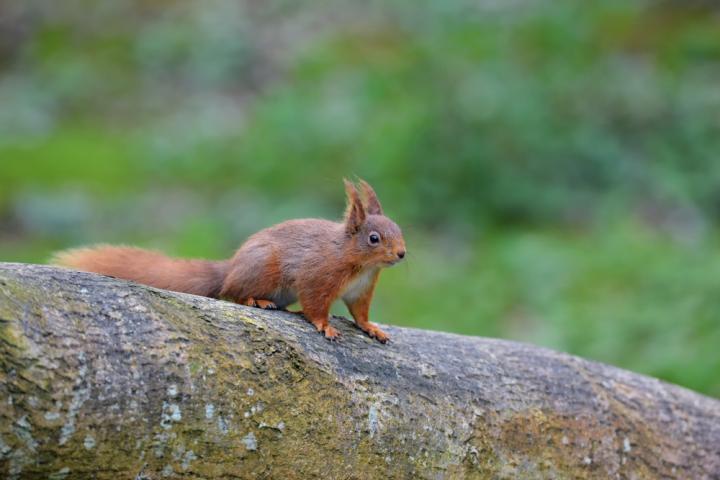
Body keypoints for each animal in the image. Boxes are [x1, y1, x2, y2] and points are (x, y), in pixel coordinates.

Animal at [52, 179, 406, 343]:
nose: (402, 254)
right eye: (374, 239)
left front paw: (371, 328)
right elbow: (316, 305)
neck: (357, 262)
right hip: (263, 270)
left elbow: (360, 313)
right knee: (232, 293)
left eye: (398, 229)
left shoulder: (361, 290)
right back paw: (256, 300)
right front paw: (325, 326)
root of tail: (230, 268)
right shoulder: (318, 275)